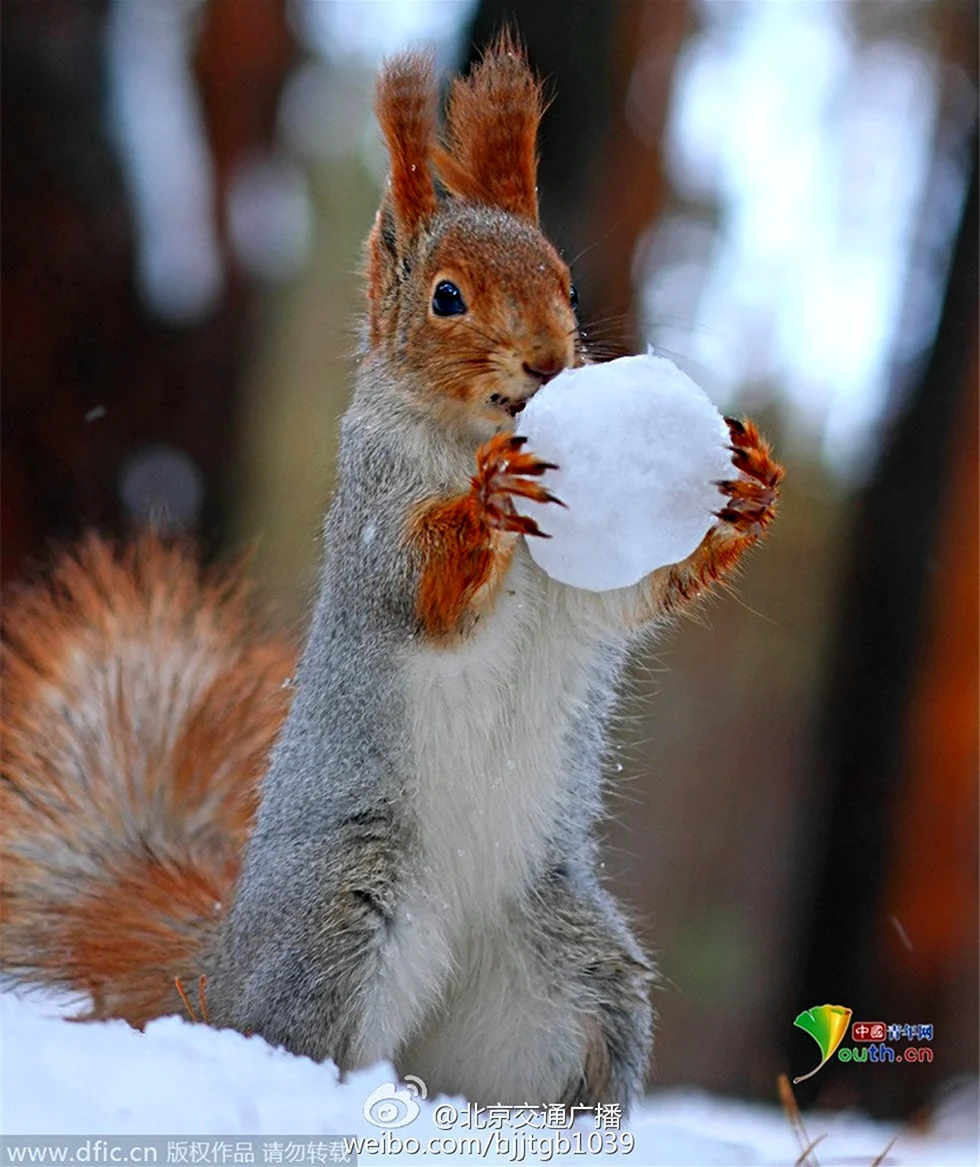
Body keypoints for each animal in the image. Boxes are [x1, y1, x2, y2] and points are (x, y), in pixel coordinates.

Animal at [0, 34, 779, 1110]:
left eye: (569, 285)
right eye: (446, 297)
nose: (550, 359)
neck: (465, 434)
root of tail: (217, 972)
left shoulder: (585, 591)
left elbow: (632, 594)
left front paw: (748, 488)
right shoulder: (372, 518)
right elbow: (422, 591)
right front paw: (487, 502)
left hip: (572, 975)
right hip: (342, 926)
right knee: (302, 1030)